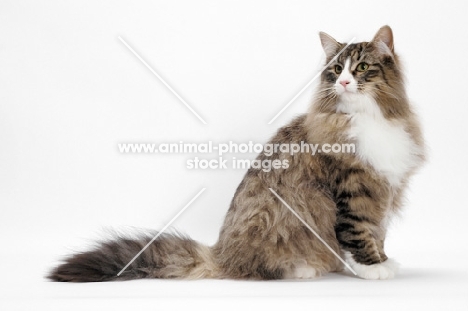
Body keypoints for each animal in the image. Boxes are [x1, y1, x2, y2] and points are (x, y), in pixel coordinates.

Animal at [47, 25, 424, 282]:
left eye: (360, 68)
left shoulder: (384, 187)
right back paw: (302, 267)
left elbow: (377, 231)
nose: (343, 82)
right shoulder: (352, 187)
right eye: (335, 70)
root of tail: (222, 253)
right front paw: (372, 268)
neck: (368, 117)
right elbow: (357, 231)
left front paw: (382, 259)